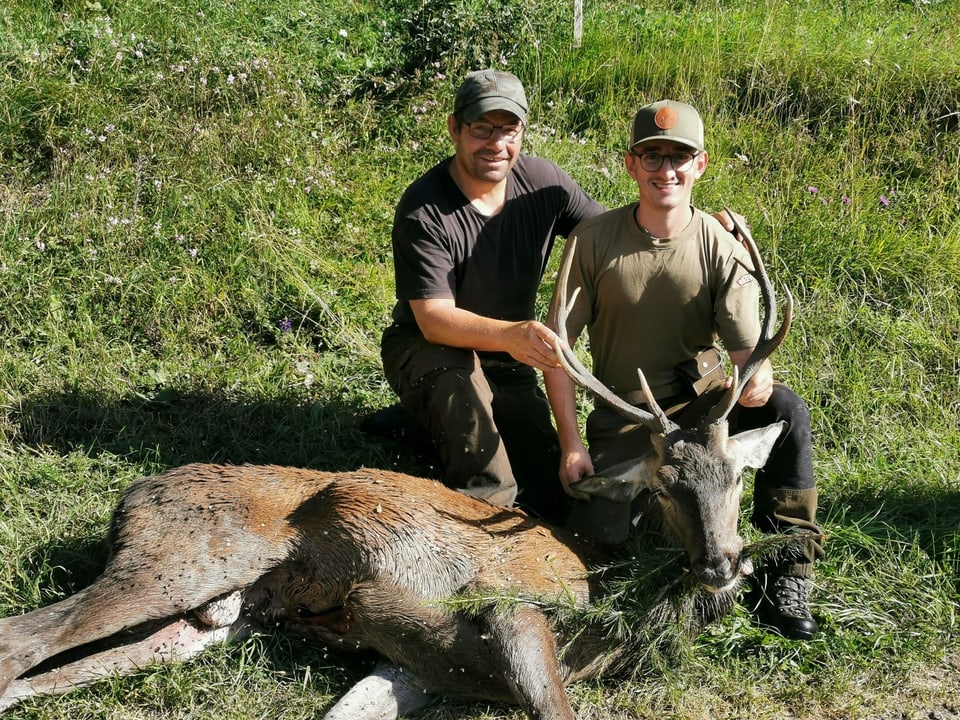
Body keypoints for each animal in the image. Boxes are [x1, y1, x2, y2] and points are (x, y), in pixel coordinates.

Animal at [0, 212, 792, 716]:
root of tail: (131, 496)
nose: (722, 562)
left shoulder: (413, 668)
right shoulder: (511, 605)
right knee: (19, 641)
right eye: (663, 485)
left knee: (39, 675)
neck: (614, 599)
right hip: (180, 557)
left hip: (209, 621)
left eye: (736, 476)